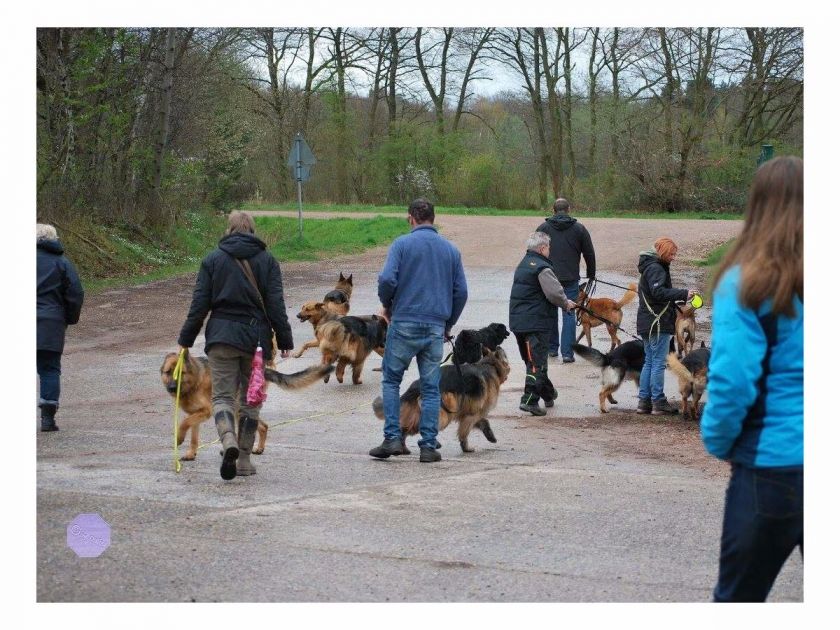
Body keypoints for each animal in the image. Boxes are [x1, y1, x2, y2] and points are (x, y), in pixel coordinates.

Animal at [159, 348, 334, 462]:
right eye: (168, 372)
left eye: (180, 373)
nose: (172, 388)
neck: (193, 381)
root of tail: (262, 370)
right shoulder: (195, 414)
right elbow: (193, 435)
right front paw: (191, 453)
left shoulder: (205, 411)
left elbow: (184, 423)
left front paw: (179, 438)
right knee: (263, 426)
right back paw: (257, 448)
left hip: (238, 409)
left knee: (258, 426)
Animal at [374, 348, 512, 456]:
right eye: (504, 354)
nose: (499, 346)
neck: (490, 364)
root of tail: (417, 385)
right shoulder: (472, 414)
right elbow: (465, 432)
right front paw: (466, 448)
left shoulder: (471, 412)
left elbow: (483, 422)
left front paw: (490, 436)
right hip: (444, 412)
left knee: (405, 429)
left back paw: (402, 448)